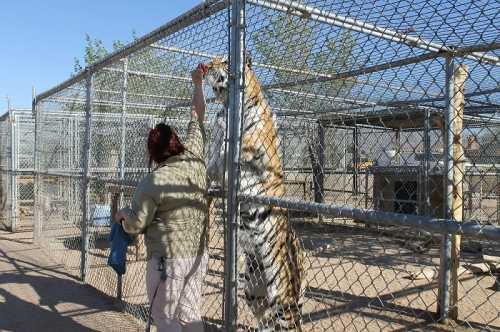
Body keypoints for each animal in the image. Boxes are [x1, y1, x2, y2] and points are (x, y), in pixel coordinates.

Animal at [202, 57, 304, 332]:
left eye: (223, 61)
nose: (204, 66)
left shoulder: (256, 144)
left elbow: (238, 144)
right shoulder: (216, 164)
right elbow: (212, 158)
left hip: (283, 298)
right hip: (254, 292)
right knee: (266, 321)